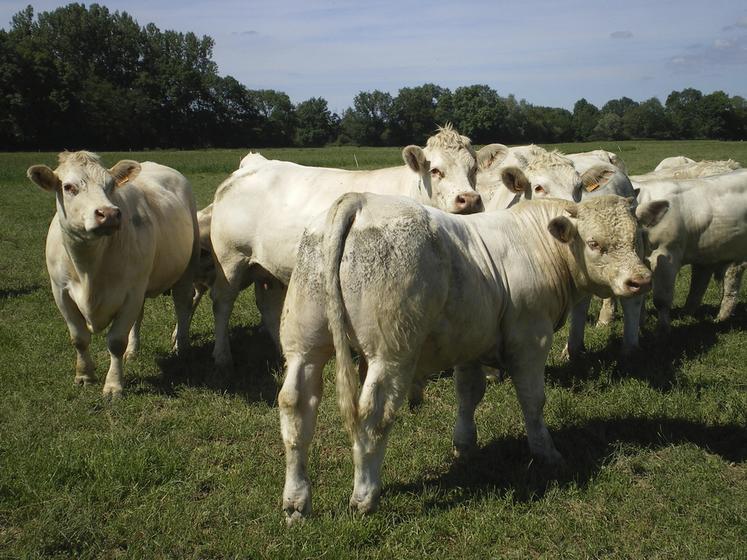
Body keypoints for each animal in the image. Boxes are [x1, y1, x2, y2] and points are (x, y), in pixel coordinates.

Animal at [28, 149, 199, 394]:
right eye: (68, 187)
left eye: (110, 186)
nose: (108, 213)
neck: (88, 269)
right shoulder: (60, 292)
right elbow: (79, 338)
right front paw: (84, 376)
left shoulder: (131, 292)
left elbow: (116, 341)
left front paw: (113, 385)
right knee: (140, 316)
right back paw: (133, 351)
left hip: (186, 267)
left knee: (183, 304)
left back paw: (181, 347)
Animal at [280, 191, 668, 520]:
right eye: (594, 243)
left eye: (637, 237)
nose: (640, 280)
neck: (540, 244)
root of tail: (360, 200)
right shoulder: (530, 339)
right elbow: (533, 400)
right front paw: (546, 452)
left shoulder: (468, 341)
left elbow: (468, 393)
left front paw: (465, 446)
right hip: (390, 353)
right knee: (373, 415)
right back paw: (365, 495)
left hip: (304, 346)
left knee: (296, 405)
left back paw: (297, 501)